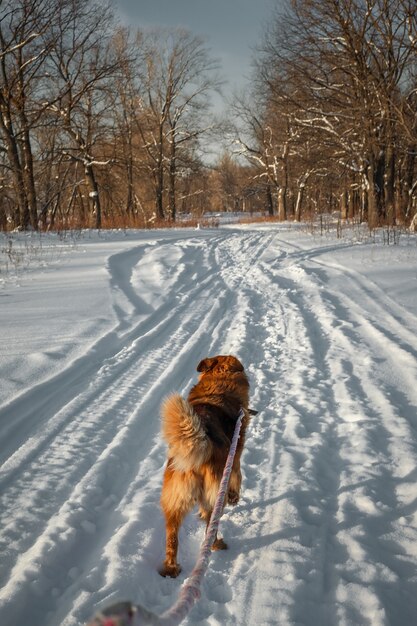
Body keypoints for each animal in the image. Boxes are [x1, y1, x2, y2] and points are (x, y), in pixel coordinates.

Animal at [159, 354, 250, 576]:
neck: (218, 385)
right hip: (215, 494)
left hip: (175, 500)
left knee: (172, 537)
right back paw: (217, 545)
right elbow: (238, 476)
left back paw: (171, 568)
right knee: (211, 525)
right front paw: (235, 497)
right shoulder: (235, 457)